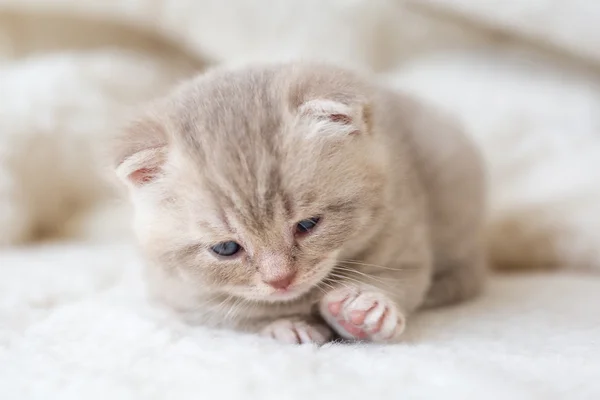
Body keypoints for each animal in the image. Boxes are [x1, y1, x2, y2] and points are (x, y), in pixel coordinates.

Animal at [111, 62, 488, 344]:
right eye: (226, 249)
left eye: (307, 225)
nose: (280, 280)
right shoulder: (179, 295)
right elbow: (237, 314)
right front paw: (286, 323)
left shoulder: (404, 230)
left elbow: (404, 281)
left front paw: (368, 307)